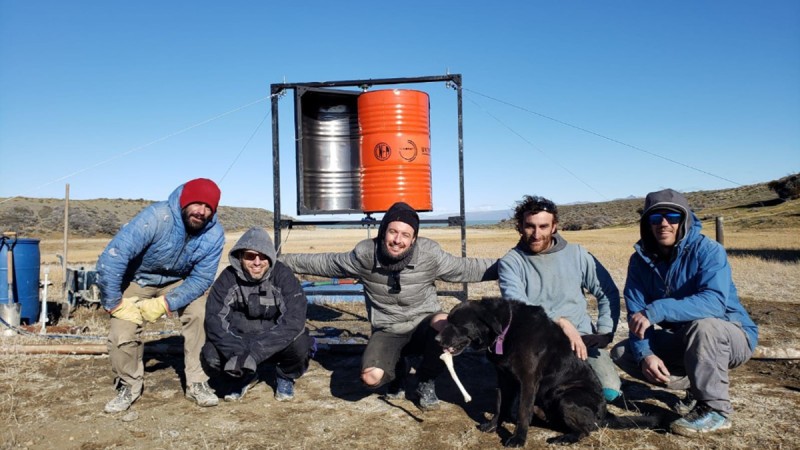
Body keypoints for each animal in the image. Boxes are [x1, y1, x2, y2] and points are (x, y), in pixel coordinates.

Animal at [438, 298, 656, 446]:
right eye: (447, 321)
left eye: (457, 324)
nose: (437, 339)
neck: (506, 330)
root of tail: (604, 413)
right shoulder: (503, 377)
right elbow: (500, 404)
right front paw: (493, 425)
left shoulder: (528, 379)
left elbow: (523, 410)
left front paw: (518, 439)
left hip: (567, 397)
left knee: (587, 429)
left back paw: (565, 438)